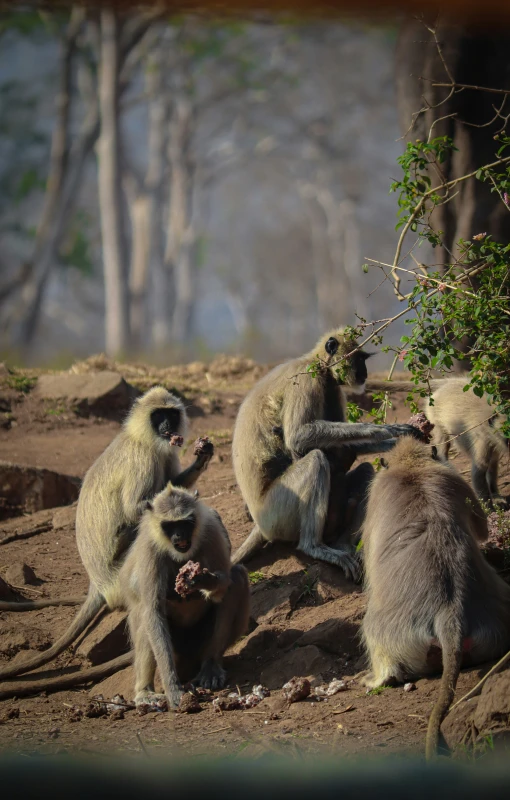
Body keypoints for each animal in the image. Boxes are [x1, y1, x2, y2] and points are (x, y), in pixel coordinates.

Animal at [0, 388, 213, 680]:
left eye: (171, 414)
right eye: (158, 415)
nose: (167, 426)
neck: (139, 437)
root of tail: (98, 583)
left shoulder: (164, 452)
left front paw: (203, 457)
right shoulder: (143, 459)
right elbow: (136, 509)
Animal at [117, 482, 249, 708]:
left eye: (185, 523)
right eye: (170, 526)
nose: (179, 535)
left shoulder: (210, 529)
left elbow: (223, 583)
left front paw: (202, 580)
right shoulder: (150, 549)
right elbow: (153, 610)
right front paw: (172, 688)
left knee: (237, 577)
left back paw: (210, 667)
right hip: (177, 652)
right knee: (144, 612)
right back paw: (145, 691)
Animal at [231, 328, 422, 580]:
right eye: (359, 359)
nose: (364, 372)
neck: (317, 364)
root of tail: (259, 523)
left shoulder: (331, 385)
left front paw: (395, 440)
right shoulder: (307, 380)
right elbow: (298, 437)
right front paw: (385, 430)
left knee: (364, 470)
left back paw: (342, 545)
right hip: (276, 513)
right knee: (315, 460)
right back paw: (314, 547)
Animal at [360, 434, 510, 760]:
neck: (412, 468)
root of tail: (449, 613)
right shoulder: (454, 479)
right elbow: (481, 528)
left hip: (395, 635)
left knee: (373, 632)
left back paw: (379, 677)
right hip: (496, 627)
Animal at [428, 376, 508, 506]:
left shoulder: (494, 443)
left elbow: (493, 465)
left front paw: (496, 497)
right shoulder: (483, 441)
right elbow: (479, 469)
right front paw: (488, 508)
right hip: (434, 416)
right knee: (442, 445)